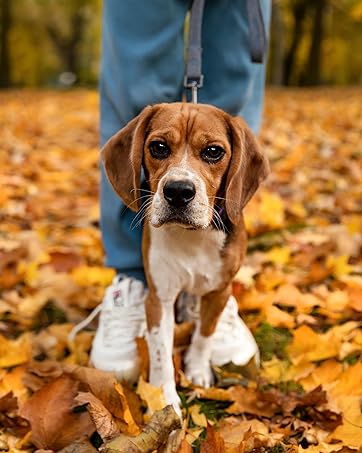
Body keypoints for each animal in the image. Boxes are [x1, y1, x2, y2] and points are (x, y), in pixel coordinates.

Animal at [102, 102, 268, 414]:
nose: (178, 191)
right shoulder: (159, 299)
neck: (193, 238)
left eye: (213, 151)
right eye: (158, 147)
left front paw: (197, 370)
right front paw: (164, 399)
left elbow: (205, 334)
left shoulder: (218, 292)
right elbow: (160, 354)